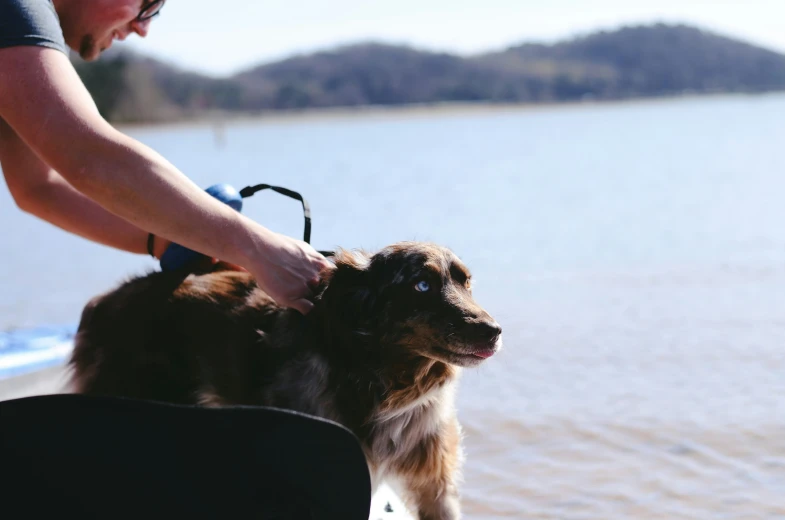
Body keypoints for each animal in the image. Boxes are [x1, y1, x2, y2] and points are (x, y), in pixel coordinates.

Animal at [69, 242, 502, 516]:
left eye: (466, 282)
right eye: (421, 284)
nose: (494, 331)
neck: (383, 385)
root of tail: (105, 301)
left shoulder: (434, 480)